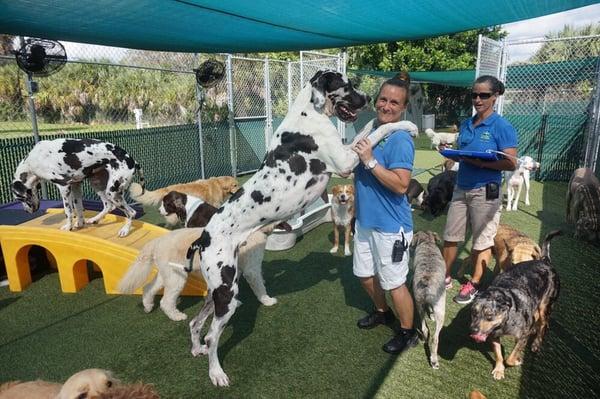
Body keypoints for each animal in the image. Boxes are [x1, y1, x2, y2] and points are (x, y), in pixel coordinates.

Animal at [11, 138, 144, 238]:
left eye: (20, 198)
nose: (26, 211)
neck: (32, 161)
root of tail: (132, 161)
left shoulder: (64, 187)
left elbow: (68, 211)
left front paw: (68, 227)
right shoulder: (76, 185)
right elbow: (78, 208)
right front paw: (80, 224)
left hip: (112, 192)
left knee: (131, 212)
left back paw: (125, 230)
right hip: (98, 185)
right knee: (109, 206)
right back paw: (94, 219)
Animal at [118, 225, 288, 322]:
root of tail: (157, 241)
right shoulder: (252, 270)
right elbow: (260, 288)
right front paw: (267, 301)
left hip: (166, 275)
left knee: (148, 288)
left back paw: (148, 306)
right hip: (176, 278)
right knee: (165, 301)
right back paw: (177, 316)